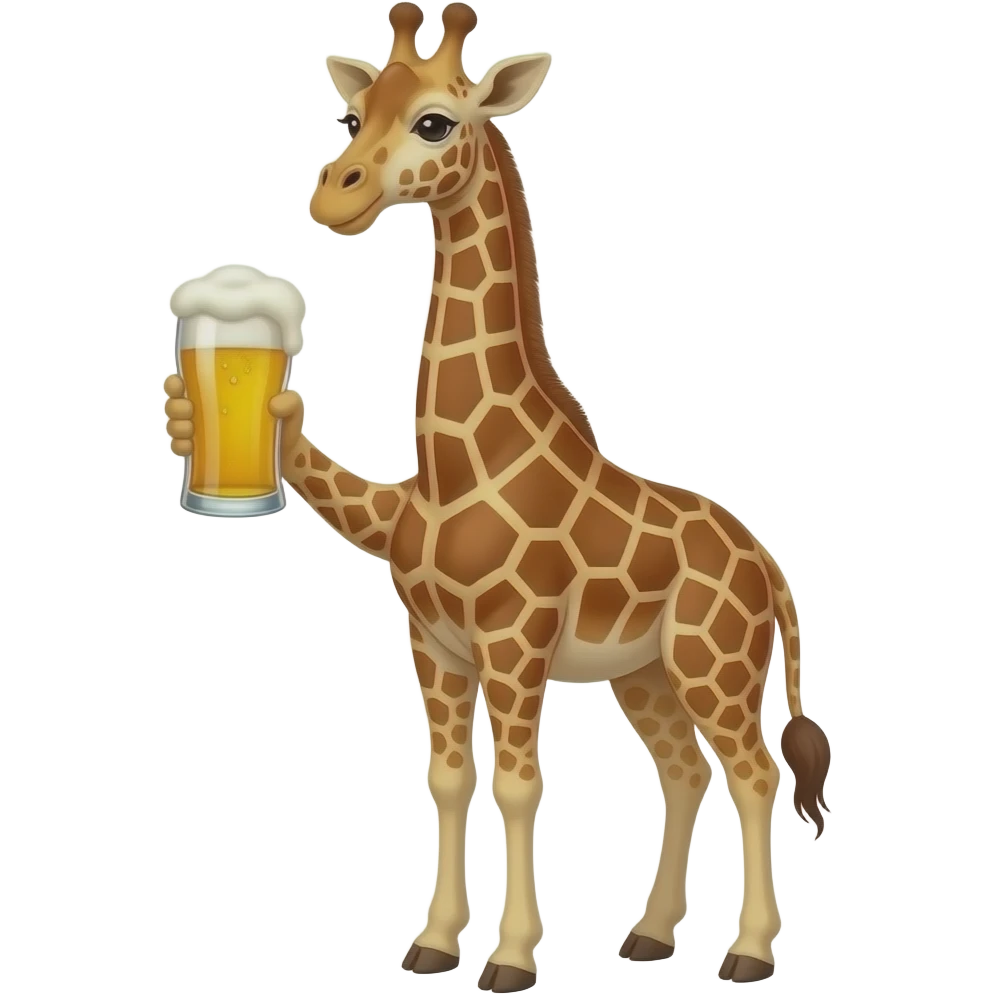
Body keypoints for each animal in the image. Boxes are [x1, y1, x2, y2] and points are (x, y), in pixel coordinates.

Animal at [163, 2, 832, 988]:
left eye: (438, 122)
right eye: (353, 115)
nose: (333, 197)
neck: (457, 467)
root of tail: (767, 563)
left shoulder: (515, 641)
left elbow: (517, 786)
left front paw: (511, 958)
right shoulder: (434, 644)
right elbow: (447, 781)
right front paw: (436, 943)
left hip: (716, 663)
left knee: (752, 772)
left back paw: (747, 952)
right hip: (645, 672)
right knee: (684, 772)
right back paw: (649, 936)